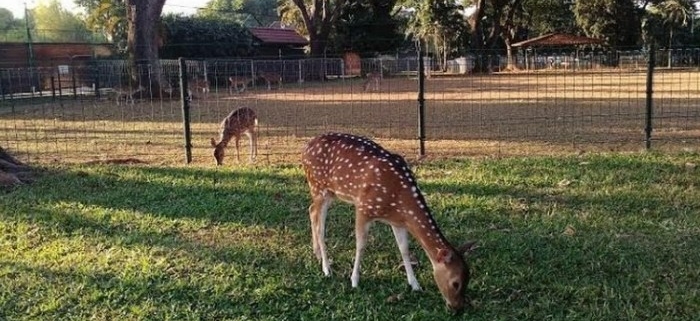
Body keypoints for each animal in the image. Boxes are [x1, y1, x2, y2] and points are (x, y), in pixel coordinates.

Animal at [300, 132, 476, 310]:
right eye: (455, 283)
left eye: (468, 279)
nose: (457, 307)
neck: (398, 198)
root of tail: (306, 148)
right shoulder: (363, 207)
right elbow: (361, 245)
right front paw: (354, 280)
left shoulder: (397, 221)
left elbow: (404, 249)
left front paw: (415, 284)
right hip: (318, 187)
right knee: (320, 226)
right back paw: (326, 268)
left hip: (329, 193)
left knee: (311, 210)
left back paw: (317, 254)